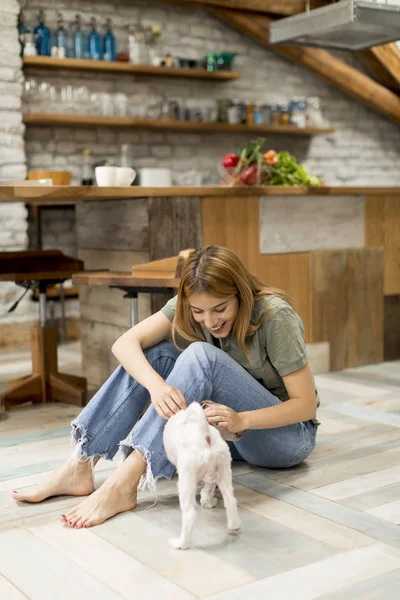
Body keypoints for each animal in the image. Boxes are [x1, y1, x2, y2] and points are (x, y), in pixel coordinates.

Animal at [162, 400, 241, 552]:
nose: (240, 432)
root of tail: (205, 436)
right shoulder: (212, 476)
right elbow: (207, 490)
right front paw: (208, 502)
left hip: (186, 479)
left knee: (189, 515)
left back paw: (181, 543)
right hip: (224, 471)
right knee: (230, 500)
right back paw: (234, 526)